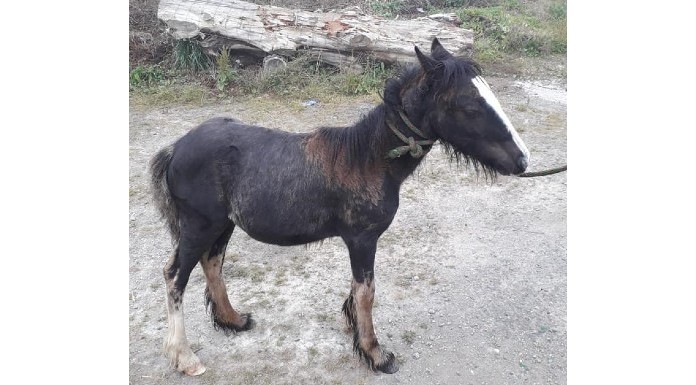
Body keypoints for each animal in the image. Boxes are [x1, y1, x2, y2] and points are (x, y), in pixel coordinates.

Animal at [147, 38, 528, 376]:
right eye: (469, 106)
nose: (522, 160)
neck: (368, 160)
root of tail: (176, 147)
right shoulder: (362, 239)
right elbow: (367, 292)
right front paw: (375, 354)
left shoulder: (359, 242)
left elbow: (358, 289)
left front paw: (355, 329)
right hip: (199, 225)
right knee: (175, 277)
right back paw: (185, 357)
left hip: (223, 224)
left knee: (212, 263)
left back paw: (234, 320)